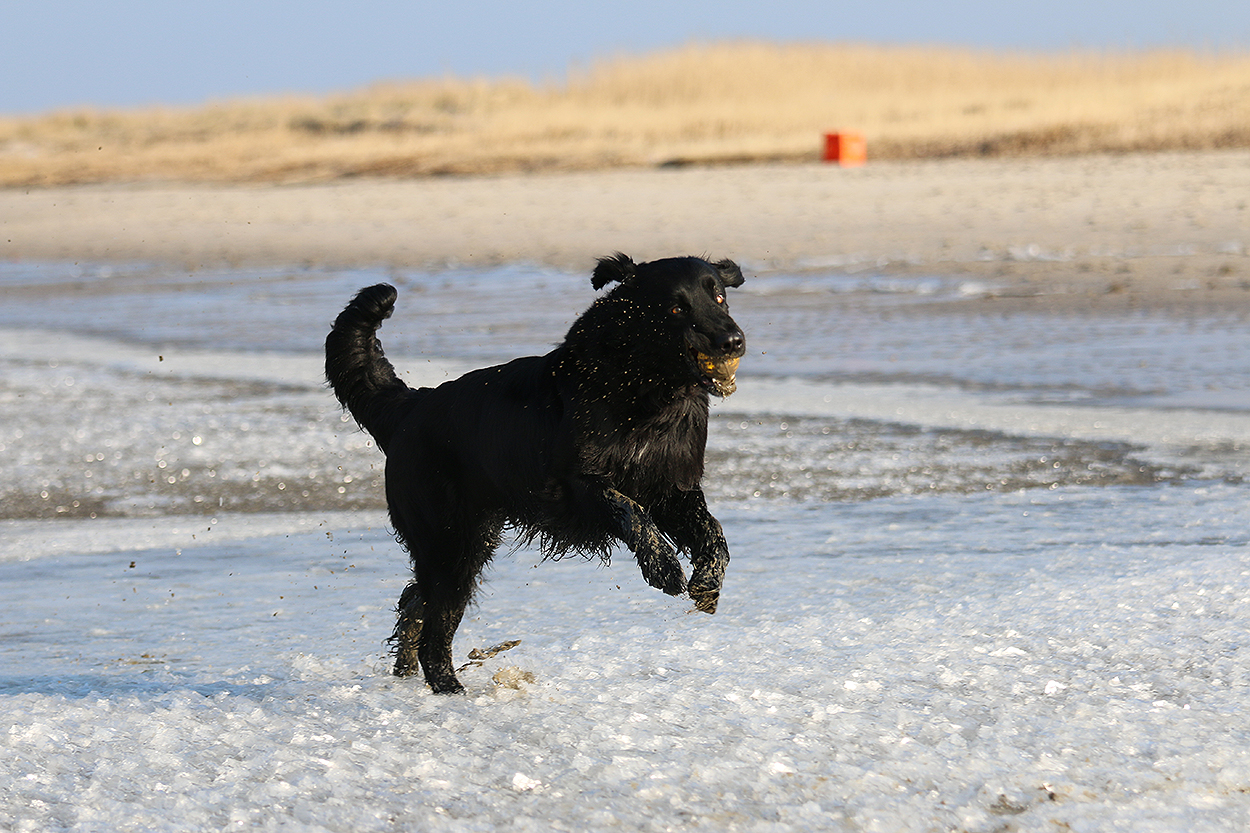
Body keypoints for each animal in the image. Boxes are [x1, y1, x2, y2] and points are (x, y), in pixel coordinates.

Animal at [325, 253, 746, 693]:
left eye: (719, 297)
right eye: (676, 308)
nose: (733, 340)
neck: (643, 392)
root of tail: (410, 406)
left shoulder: (672, 486)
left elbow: (713, 532)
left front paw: (708, 582)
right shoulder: (575, 484)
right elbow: (629, 510)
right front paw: (663, 567)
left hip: (468, 539)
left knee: (413, 603)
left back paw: (406, 674)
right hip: (449, 544)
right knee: (434, 630)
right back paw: (450, 689)